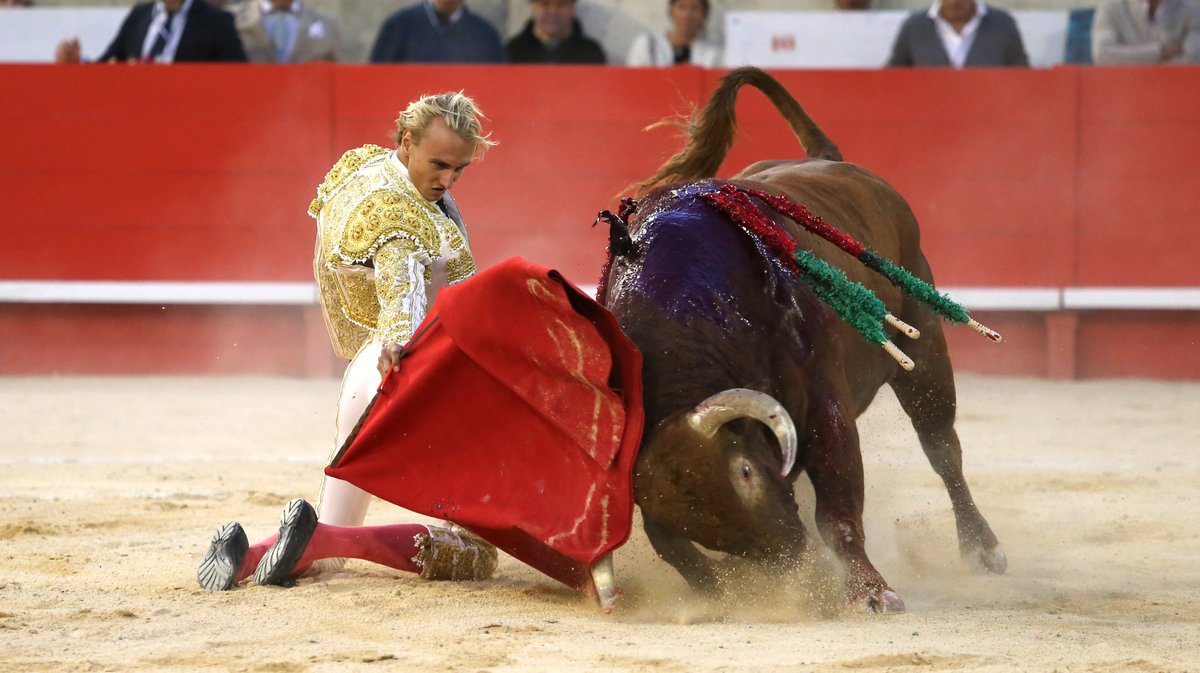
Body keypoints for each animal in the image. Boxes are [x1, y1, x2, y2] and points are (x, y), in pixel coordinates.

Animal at [600, 66, 1003, 609]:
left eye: (745, 472)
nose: (795, 560)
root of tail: (832, 162)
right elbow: (670, 545)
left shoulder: (823, 404)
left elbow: (837, 509)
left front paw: (872, 592)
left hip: (926, 348)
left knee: (942, 446)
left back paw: (982, 548)